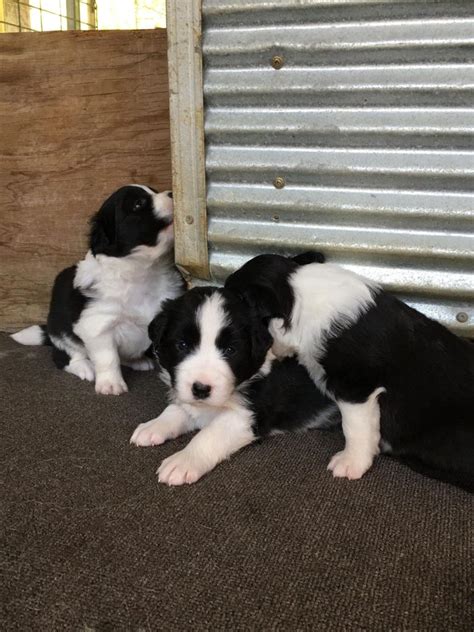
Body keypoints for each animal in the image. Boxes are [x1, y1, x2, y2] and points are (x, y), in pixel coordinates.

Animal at [11, 183, 185, 398]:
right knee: (64, 356)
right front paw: (111, 384)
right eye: (138, 204)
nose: (172, 193)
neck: (141, 271)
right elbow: (108, 357)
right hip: (60, 331)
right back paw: (84, 367)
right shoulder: (96, 325)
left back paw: (136, 361)